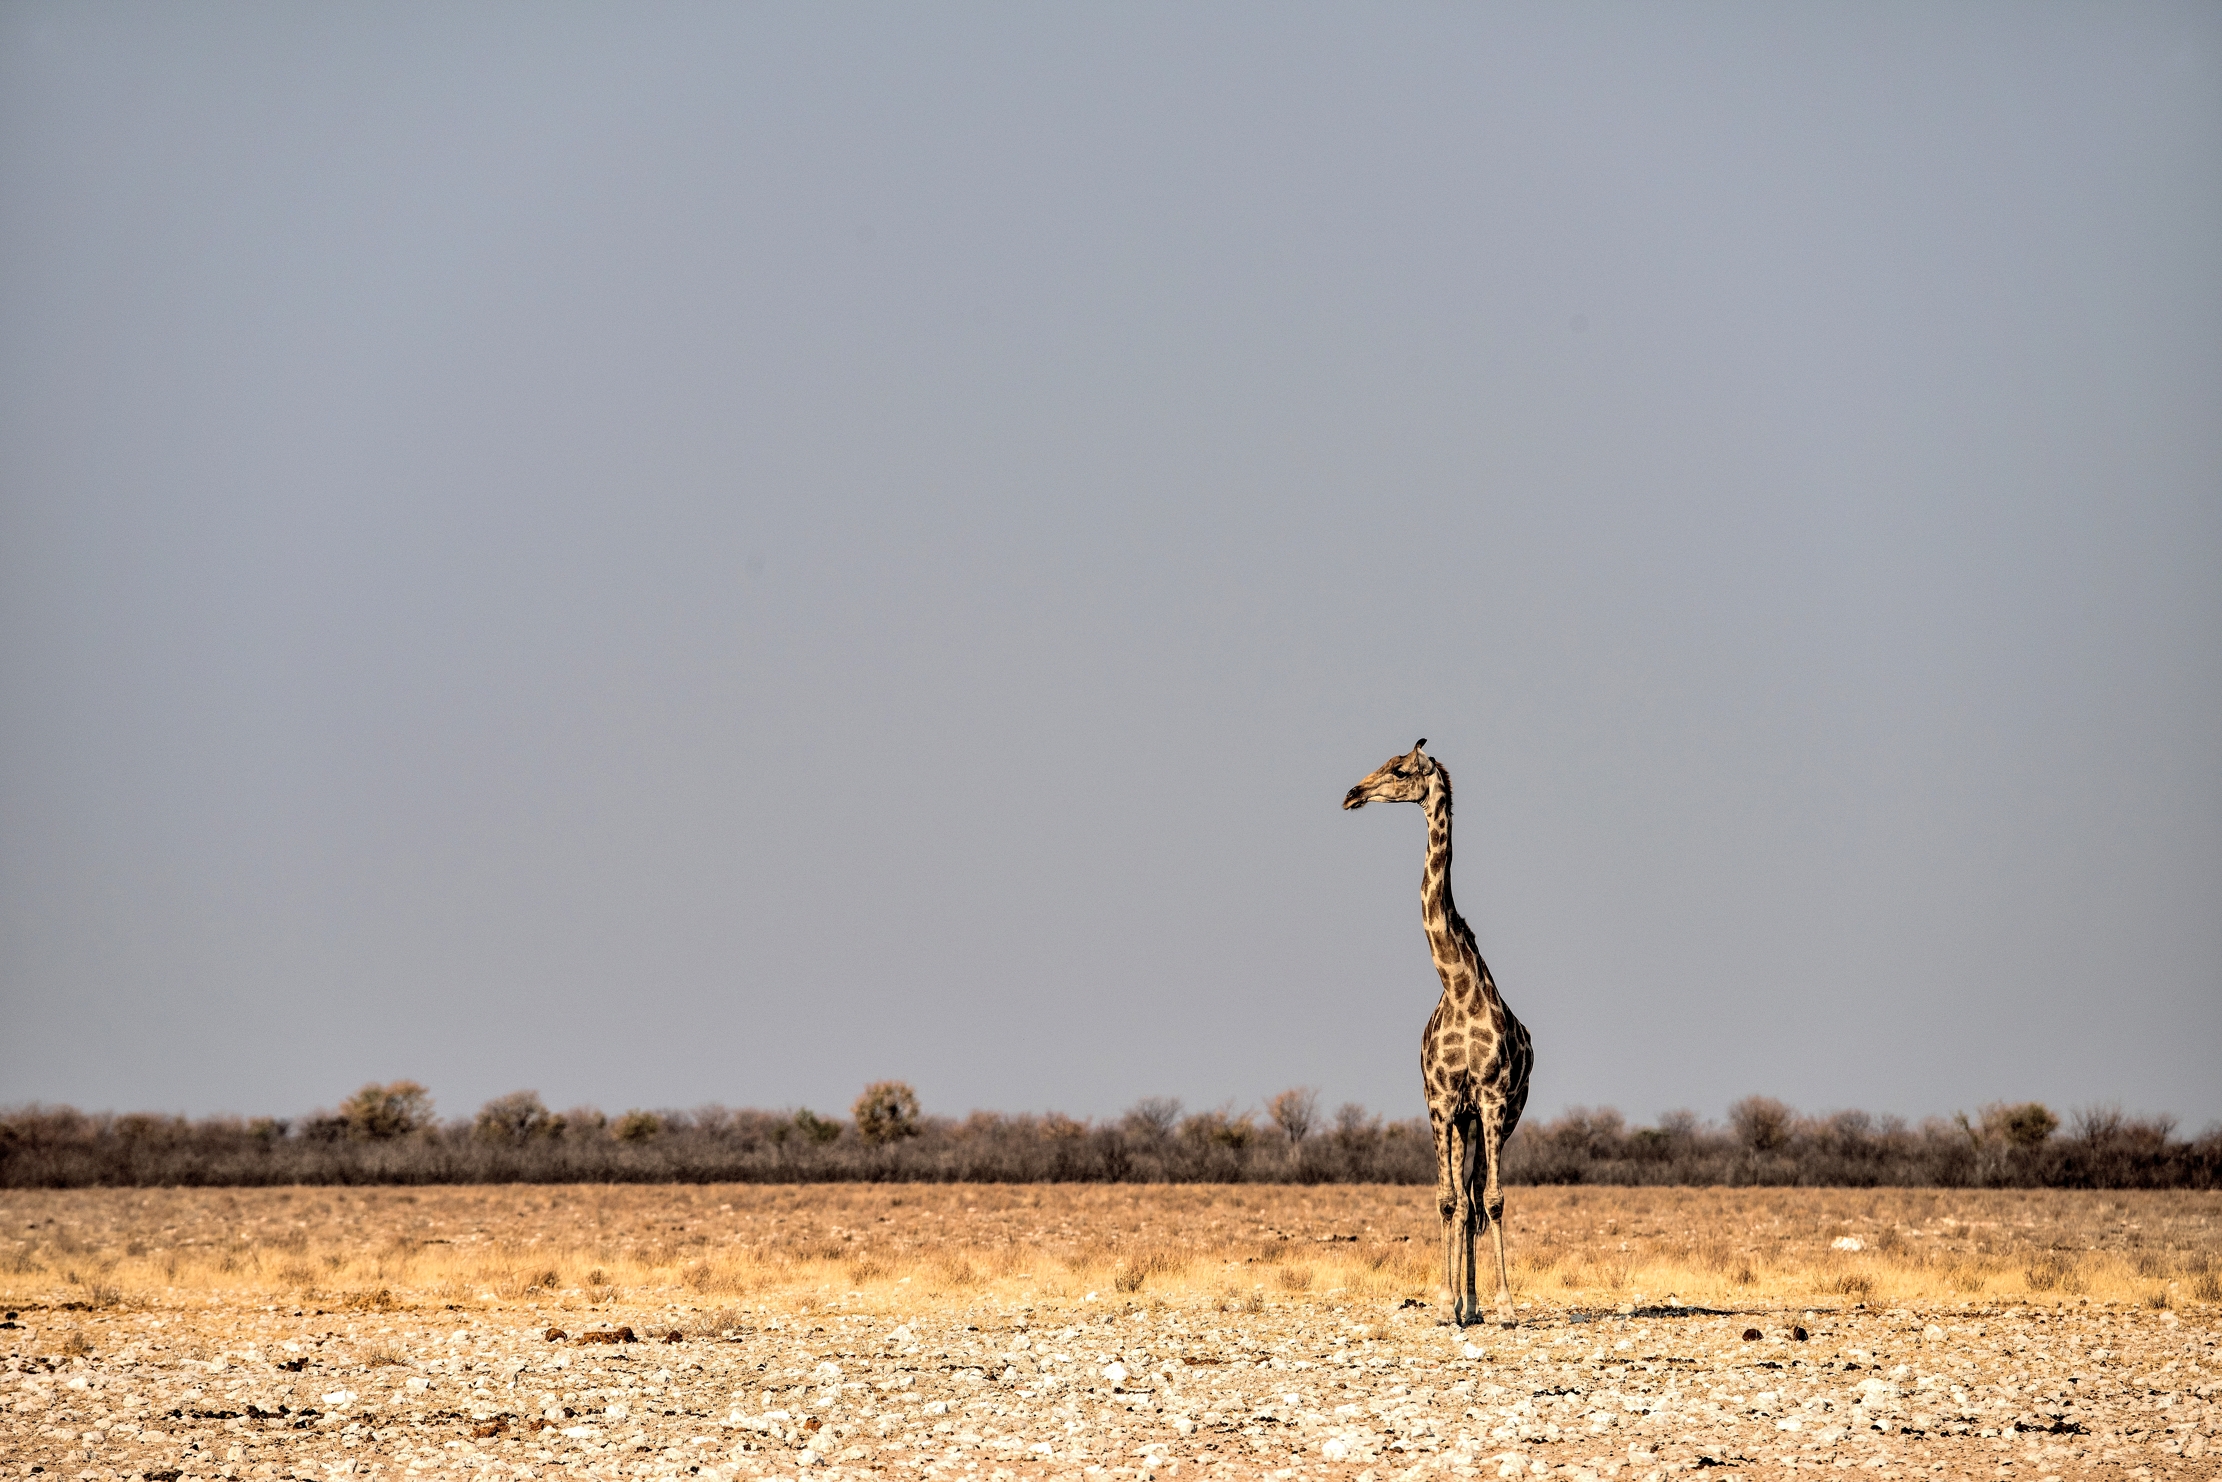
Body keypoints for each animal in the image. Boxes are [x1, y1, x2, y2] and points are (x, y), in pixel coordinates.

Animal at [1344, 739, 1533, 1326]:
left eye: (1400, 769)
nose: (1352, 794)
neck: (1457, 985)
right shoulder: (1442, 1100)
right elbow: (1447, 1200)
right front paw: (1445, 1301)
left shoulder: (1493, 1100)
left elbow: (1491, 1199)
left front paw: (1505, 1304)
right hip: (1459, 1119)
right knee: (1460, 1200)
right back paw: (1461, 1302)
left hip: (1498, 1120)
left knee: (1478, 1198)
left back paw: (1477, 1303)